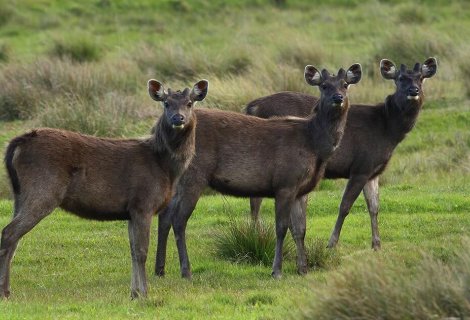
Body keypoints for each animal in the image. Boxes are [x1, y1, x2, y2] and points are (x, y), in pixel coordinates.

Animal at [0, 79, 209, 298]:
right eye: (166, 103)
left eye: (189, 103)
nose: (178, 118)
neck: (165, 167)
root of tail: (17, 143)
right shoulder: (143, 203)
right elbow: (142, 251)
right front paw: (144, 293)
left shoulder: (130, 211)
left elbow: (132, 251)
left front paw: (134, 293)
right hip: (43, 190)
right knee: (9, 233)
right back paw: (4, 292)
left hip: (20, 194)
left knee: (14, 238)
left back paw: (7, 289)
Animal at [154, 63, 364, 278]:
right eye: (323, 86)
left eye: (345, 84)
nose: (338, 98)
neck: (313, 144)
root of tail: (156, 129)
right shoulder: (285, 182)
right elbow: (281, 228)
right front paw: (277, 270)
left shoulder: (301, 189)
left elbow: (300, 229)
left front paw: (303, 269)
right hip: (194, 176)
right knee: (179, 220)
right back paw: (186, 271)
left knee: (165, 216)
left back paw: (160, 269)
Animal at [246, 57, 436, 250]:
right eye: (400, 78)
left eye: (421, 78)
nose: (414, 90)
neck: (387, 130)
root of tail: (252, 106)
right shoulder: (361, 166)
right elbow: (345, 206)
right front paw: (331, 243)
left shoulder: (373, 171)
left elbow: (374, 207)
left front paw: (377, 245)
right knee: (256, 200)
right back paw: (257, 235)